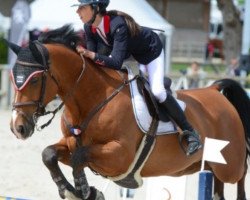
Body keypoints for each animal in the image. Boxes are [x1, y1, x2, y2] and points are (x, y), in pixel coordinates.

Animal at [8, 25, 250, 200]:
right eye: (12, 78)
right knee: (219, 188)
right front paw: (71, 190)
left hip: (229, 163)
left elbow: (80, 156)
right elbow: (49, 154)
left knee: (241, 171)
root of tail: (214, 89)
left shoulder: (119, 155)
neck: (92, 98)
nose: (18, 127)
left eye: (35, 79)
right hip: (205, 165)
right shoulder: (70, 143)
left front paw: (84, 189)